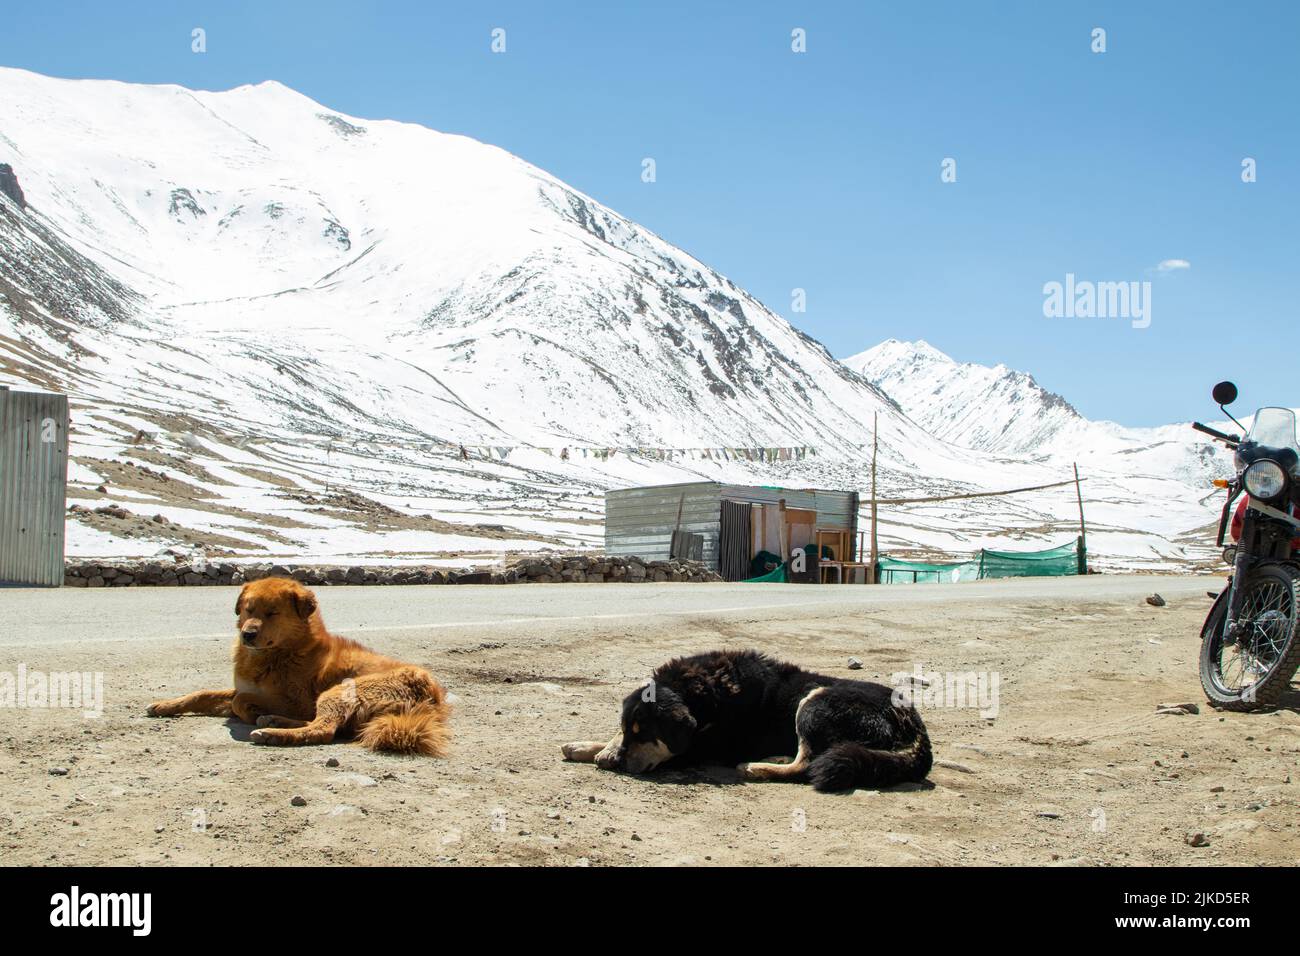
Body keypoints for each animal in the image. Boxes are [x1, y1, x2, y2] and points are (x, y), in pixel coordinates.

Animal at [145, 574, 452, 754]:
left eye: (272, 613)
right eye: (248, 609)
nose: (247, 634)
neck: (277, 653)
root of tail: (433, 697)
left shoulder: (296, 700)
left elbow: (239, 701)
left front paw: (253, 711)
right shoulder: (243, 687)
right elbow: (203, 694)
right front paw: (164, 705)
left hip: (338, 690)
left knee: (324, 729)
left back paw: (270, 732)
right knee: (331, 725)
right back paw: (273, 721)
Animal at [564, 650, 930, 790]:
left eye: (646, 734)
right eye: (629, 731)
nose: (622, 763)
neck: (704, 693)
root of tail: (915, 725)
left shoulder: (706, 747)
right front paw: (594, 747)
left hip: (815, 701)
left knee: (807, 765)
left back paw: (758, 767)